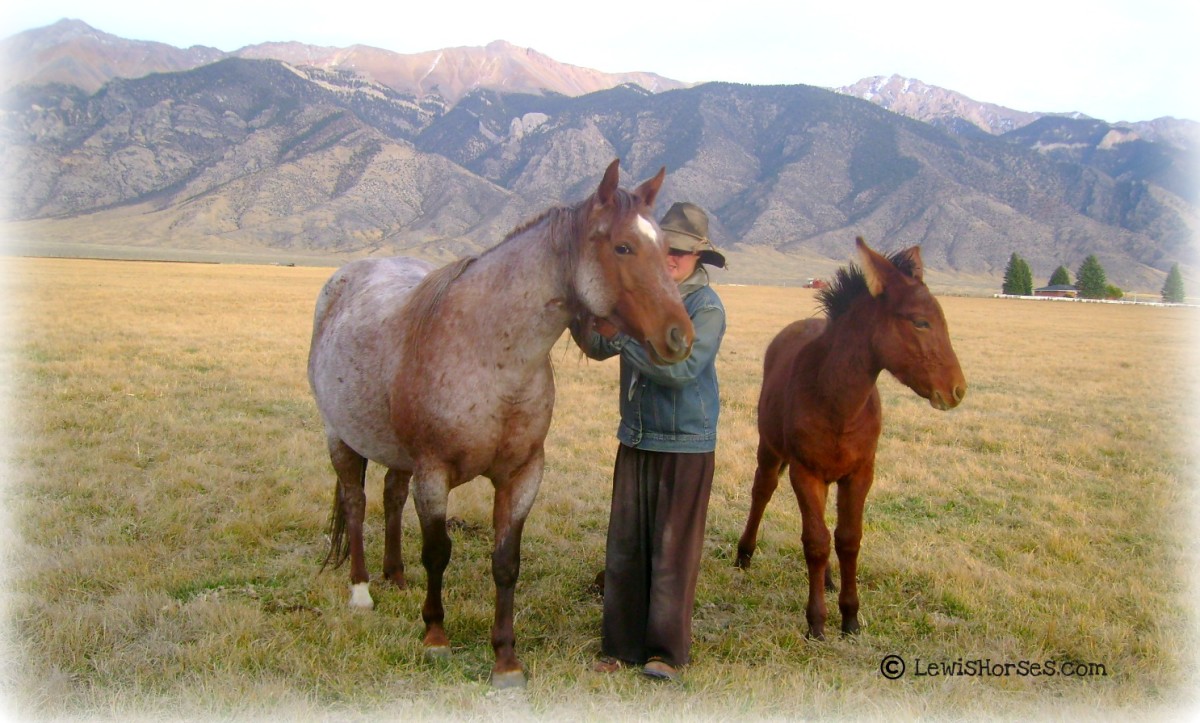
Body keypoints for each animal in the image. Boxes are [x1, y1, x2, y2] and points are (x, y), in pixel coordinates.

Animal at [307, 160, 696, 682]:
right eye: (623, 246)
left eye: (665, 249)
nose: (680, 337)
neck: (491, 355)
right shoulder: (433, 474)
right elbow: (438, 552)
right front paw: (435, 637)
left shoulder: (521, 474)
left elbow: (506, 562)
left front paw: (506, 659)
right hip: (341, 439)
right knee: (355, 502)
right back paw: (362, 591)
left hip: (398, 454)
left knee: (390, 497)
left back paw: (396, 576)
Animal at [729, 236, 964, 634]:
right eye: (920, 322)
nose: (957, 390)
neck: (838, 402)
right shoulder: (805, 472)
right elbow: (816, 542)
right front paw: (816, 622)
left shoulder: (859, 473)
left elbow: (848, 539)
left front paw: (851, 616)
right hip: (771, 450)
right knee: (763, 491)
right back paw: (745, 554)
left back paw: (826, 580)